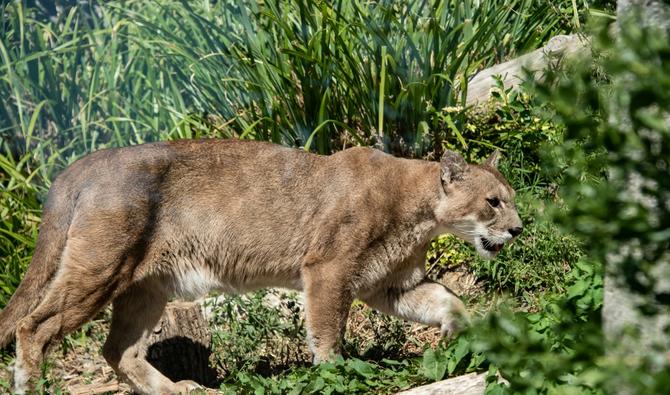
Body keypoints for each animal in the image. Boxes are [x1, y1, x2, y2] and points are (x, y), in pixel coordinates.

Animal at [0, 141, 524, 394]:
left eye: (511, 199)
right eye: (493, 202)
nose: (519, 229)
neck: (420, 213)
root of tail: (84, 163)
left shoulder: (389, 285)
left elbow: (446, 298)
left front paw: (465, 333)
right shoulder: (328, 269)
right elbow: (327, 332)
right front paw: (335, 376)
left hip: (145, 285)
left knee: (118, 349)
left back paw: (180, 390)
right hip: (102, 268)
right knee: (33, 326)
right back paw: (32, 388)